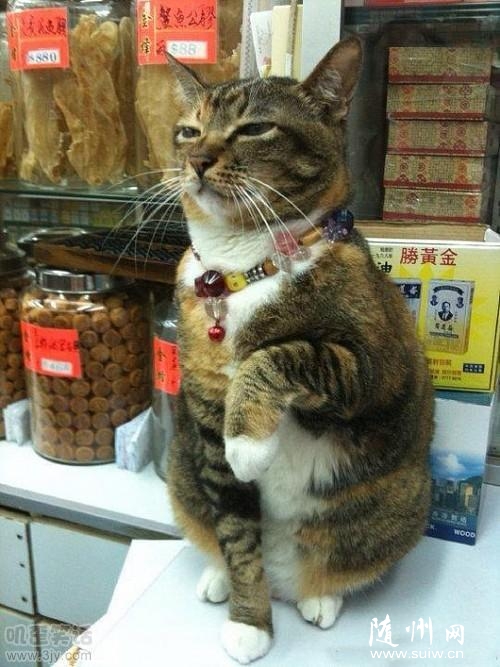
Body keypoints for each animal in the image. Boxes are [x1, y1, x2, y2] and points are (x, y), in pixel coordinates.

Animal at [165, 36, 434, 664]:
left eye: (254, 128)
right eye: (188, 131)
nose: (197, 160)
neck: (239, 268)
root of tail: (287, 583)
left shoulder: (372, 369)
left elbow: (281, 353)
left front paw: (249, 443)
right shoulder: (205, 425)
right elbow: (238, 537)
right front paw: (250, 623)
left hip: (402, 500)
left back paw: (320, 598)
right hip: (181, 469)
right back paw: (221, 580)